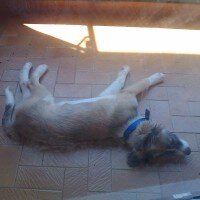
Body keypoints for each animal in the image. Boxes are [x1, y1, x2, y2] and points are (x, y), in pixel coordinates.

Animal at [2, 63, 191, 167]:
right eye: (172, 140)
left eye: (165, 154)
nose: (188, 151)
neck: (128, 126)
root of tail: (15, 125)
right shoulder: (126, 92)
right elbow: (136, 81)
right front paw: (155, 77)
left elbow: (121, 80)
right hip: (43, 94)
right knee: (30, 81)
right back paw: (37, 68)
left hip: (36, 98)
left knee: (25, 85)